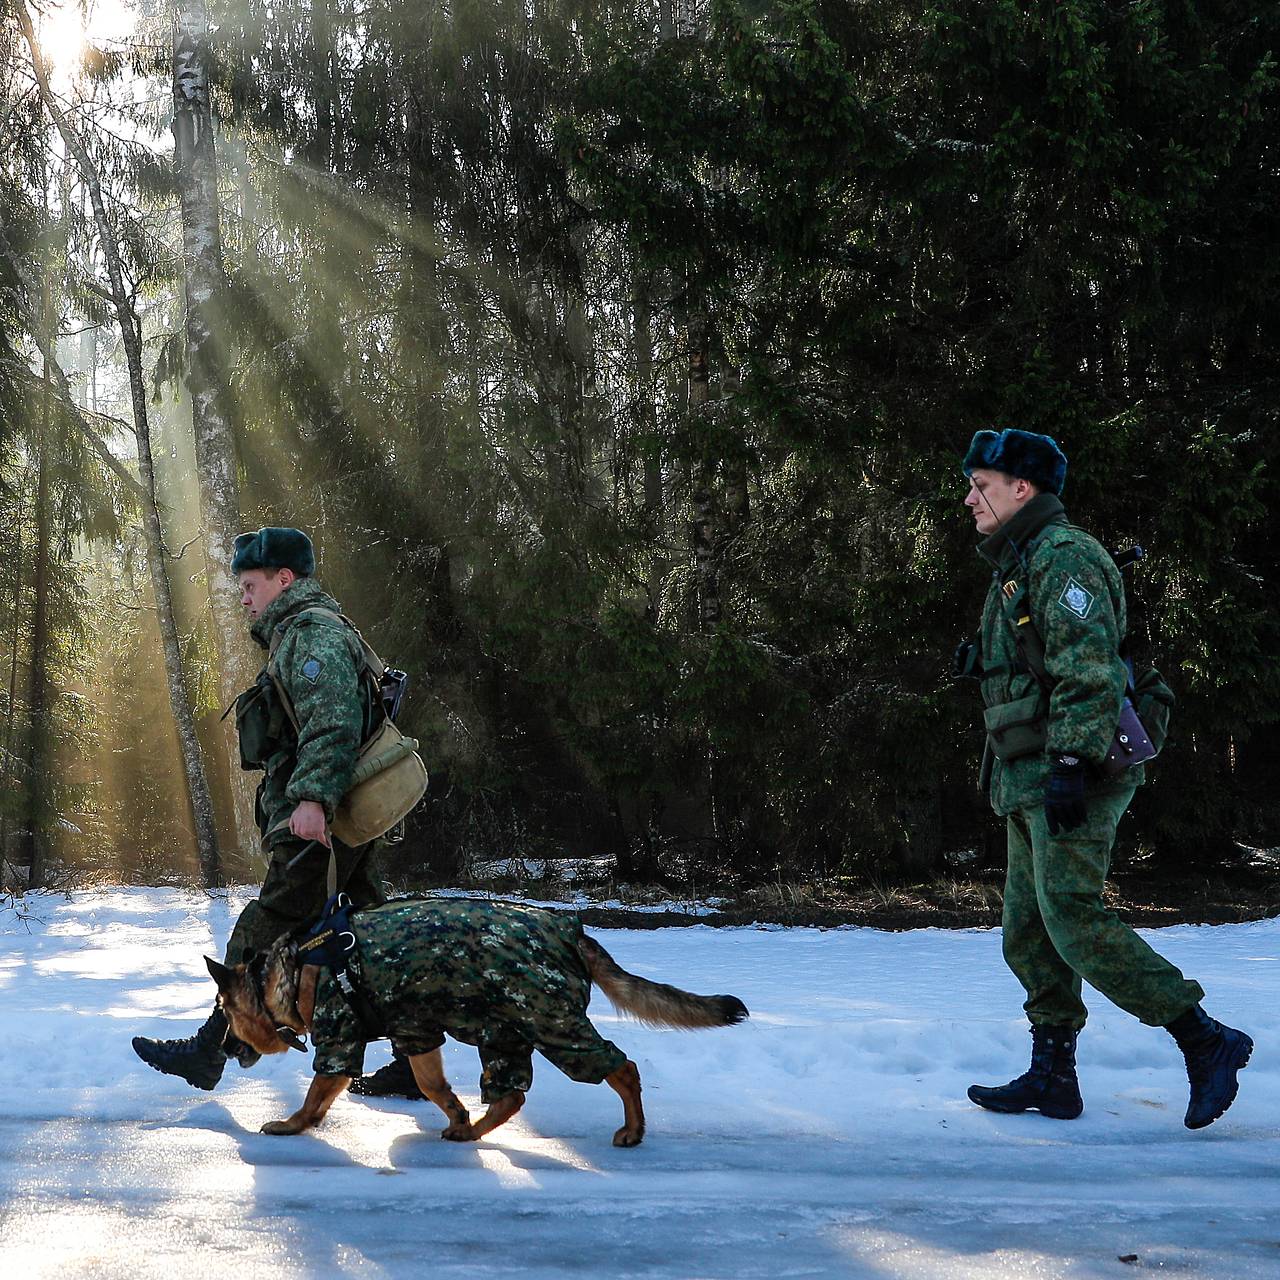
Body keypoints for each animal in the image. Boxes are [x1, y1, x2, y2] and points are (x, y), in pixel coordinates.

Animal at [203, 901, 747, 1152]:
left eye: (224, 1014)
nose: (225, 1049)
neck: (289, 973)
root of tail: (571, 930)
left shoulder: (340, 1040)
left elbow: (316, 1095)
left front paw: (292, 1124)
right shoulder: (417, 1035)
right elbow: (433, 1085)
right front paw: (457, 1114)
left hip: (551, 1022)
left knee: (621, 1066)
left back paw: (633, 1129)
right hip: (503, 1031)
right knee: (511, 1094)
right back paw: (473, 1129)